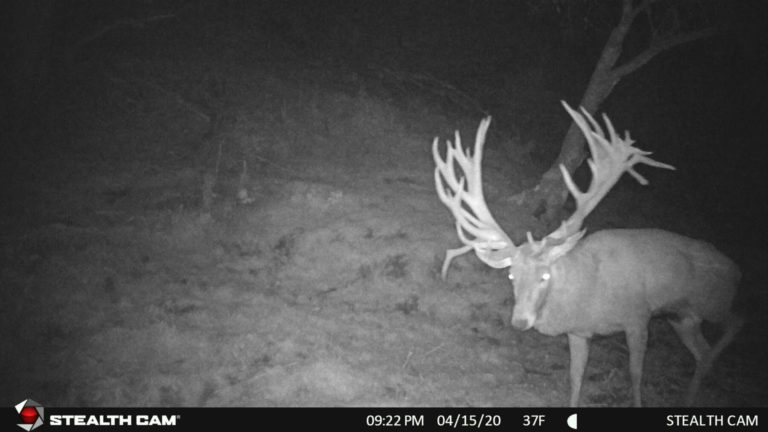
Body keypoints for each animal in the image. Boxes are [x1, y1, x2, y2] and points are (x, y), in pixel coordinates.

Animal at [432, 101, 743, 407]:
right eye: (511, 275)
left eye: (545, 276)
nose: (520, 322)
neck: (591, 297)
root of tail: (734, 267)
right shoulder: (579, 332)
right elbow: (576, 377)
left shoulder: (638, 316)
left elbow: (635, 373)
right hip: (682, 317)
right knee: (702, 351)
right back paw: (691, 396)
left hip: (713, 301)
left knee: (737, 321)